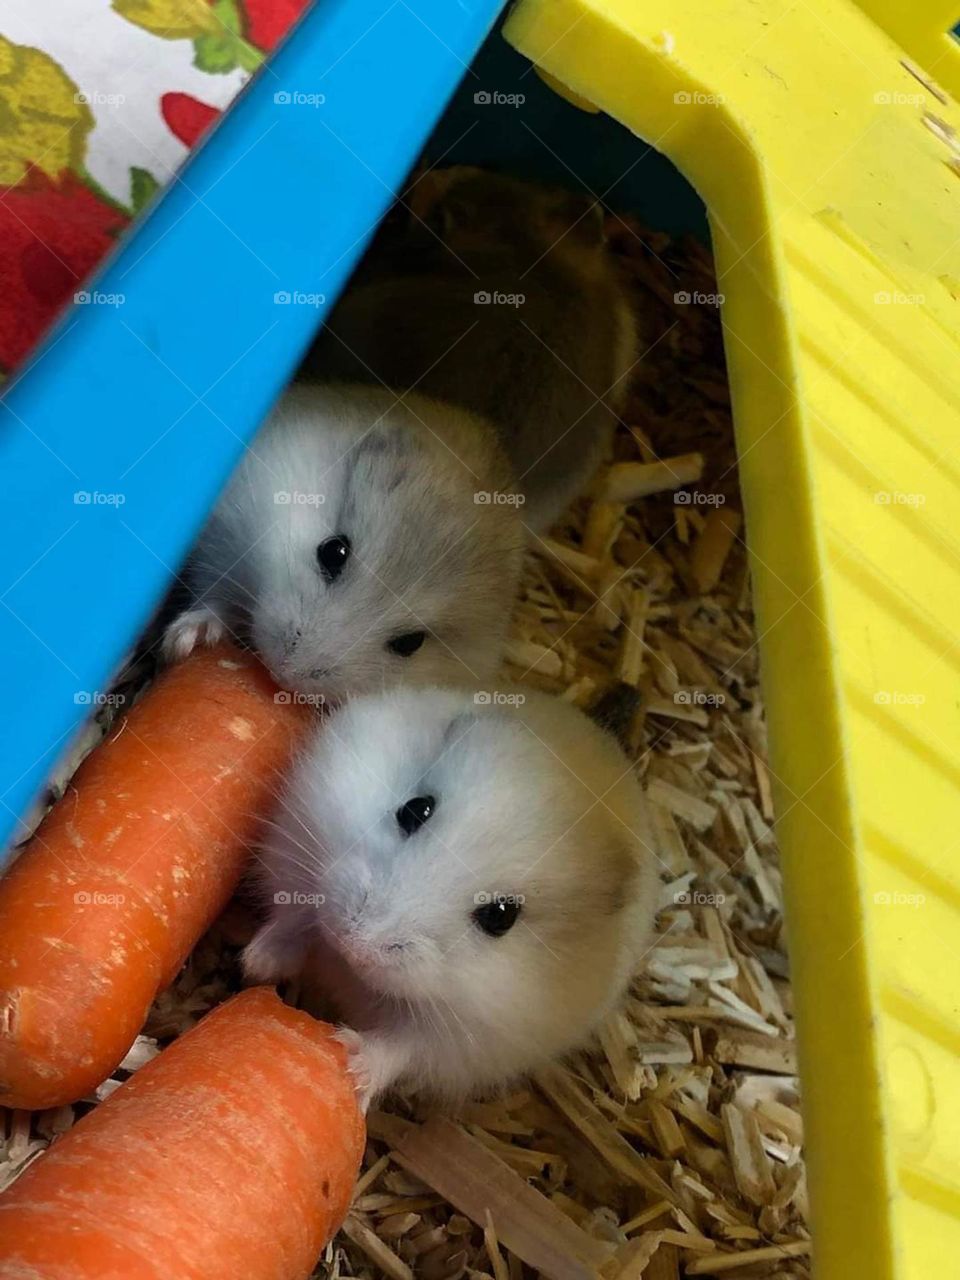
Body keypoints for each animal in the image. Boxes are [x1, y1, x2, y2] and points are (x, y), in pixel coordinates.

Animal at [163, 383, 524, 704]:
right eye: (333, 552)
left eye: (410, 643)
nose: (283, 673)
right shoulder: (223, 537)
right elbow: (213, 595)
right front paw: (184, 643)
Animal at [243, 684, 660, 1106]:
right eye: (414, 809)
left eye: (501, 916)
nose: (354, 943)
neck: (348, 970)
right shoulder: (300, 838)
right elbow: (295, 916)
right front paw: (255, 963)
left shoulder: (464, 1041)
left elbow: (398, 1048)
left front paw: (349, 1064)